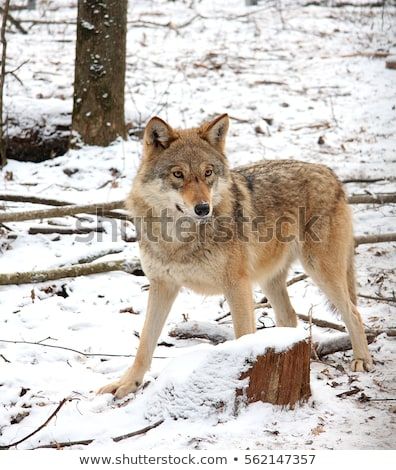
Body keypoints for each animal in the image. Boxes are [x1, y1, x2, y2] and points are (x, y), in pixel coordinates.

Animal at [97, 114, 372, 396]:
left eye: (208, 173)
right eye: (178, 174)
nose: (203, 208)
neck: (179, 239)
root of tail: (329, 172)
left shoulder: (236, 285)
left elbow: (243, 337)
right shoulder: (162, 285)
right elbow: (144, 343)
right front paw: (127, 384)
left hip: (319, 271)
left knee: (354, 313)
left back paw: (362, 360)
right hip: (268, 280)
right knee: (290, 316)